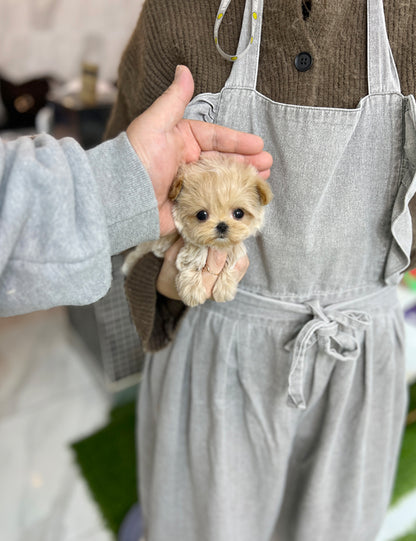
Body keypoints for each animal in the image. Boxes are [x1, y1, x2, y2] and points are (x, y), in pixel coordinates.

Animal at [123, 154, 272, 306]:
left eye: (239, 213)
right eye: (202, 215)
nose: (222, 225)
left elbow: (235, 252)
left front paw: (225, 287)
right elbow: (195, 251)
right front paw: (192, 290)